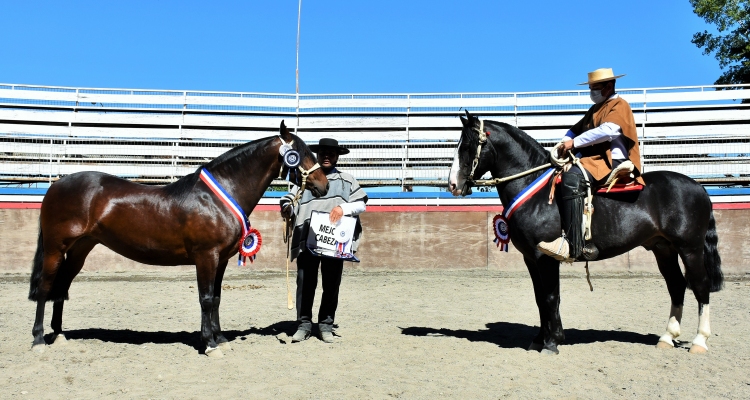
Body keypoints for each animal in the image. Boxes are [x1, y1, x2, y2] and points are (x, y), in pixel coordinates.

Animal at [27, 121, 328, 356]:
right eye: (300, 154)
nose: (323, 185)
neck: (217, 197)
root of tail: (56, 185)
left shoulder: (221, 260)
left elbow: (216, 298)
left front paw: (220, 339)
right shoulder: (206, 256)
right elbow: (205, 298)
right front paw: (210, 345)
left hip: (80, 249)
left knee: (62, 287)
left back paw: (60, 335)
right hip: (55, 248)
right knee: (45, 287)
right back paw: (39, 339)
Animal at [450, 111, 724, 354]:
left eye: (468, 146)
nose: (453, 184)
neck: (537, 193)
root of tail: (699, 187)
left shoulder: (545, 258)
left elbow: (550, 296)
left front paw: (552, 342)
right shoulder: (531, 259)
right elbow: (540, 297)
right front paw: (540, 339)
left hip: (690, 248)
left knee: (700, 286)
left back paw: (699, 341)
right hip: (663, 249)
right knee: (676, 285)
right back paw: (667, 337)